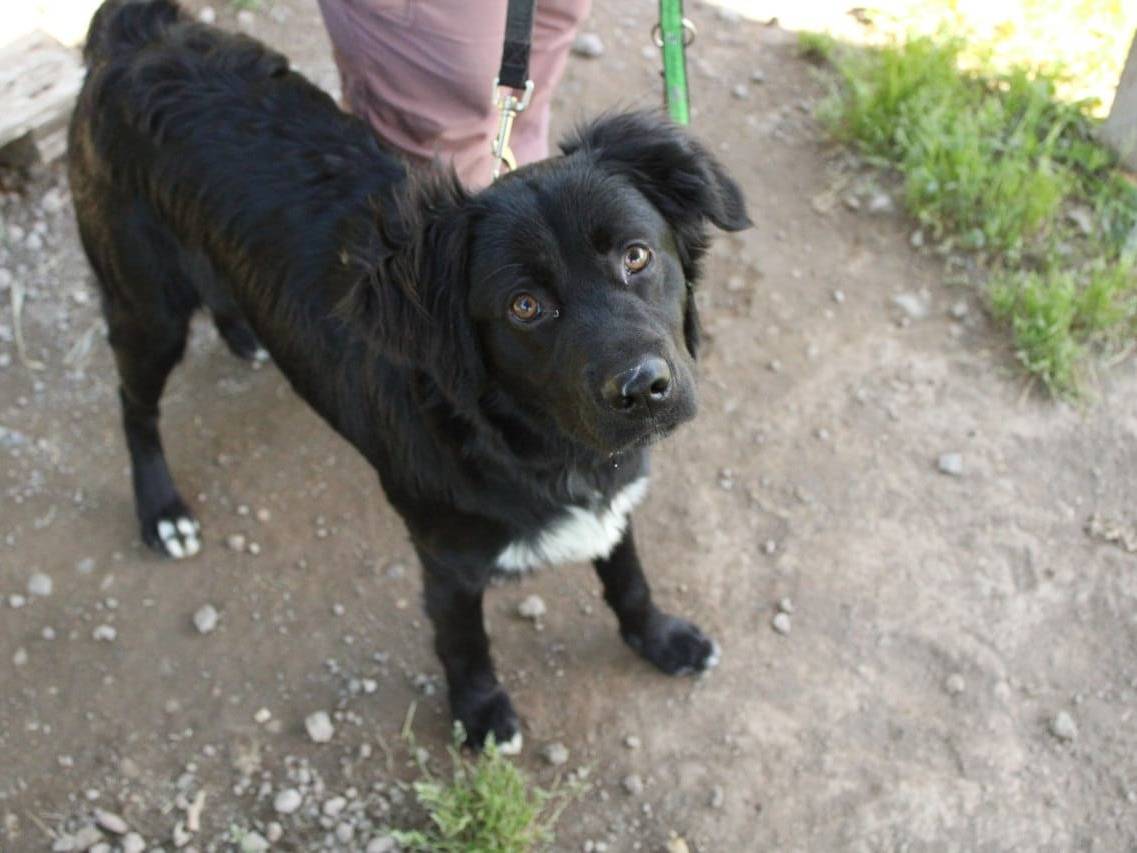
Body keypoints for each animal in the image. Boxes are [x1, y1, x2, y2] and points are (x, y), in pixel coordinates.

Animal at [71, 0, 745, 750]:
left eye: (636, 255)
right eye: (525, 306)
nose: (643, 388)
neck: (523, 439)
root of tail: (140, 34)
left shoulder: (613, 499)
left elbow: (628, 578)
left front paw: (660, 638)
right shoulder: (447, 559)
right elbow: (464, 642)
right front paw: (480, 714)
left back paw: (245, 334)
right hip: (147, 307)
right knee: (133, 404)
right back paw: (160, 510)